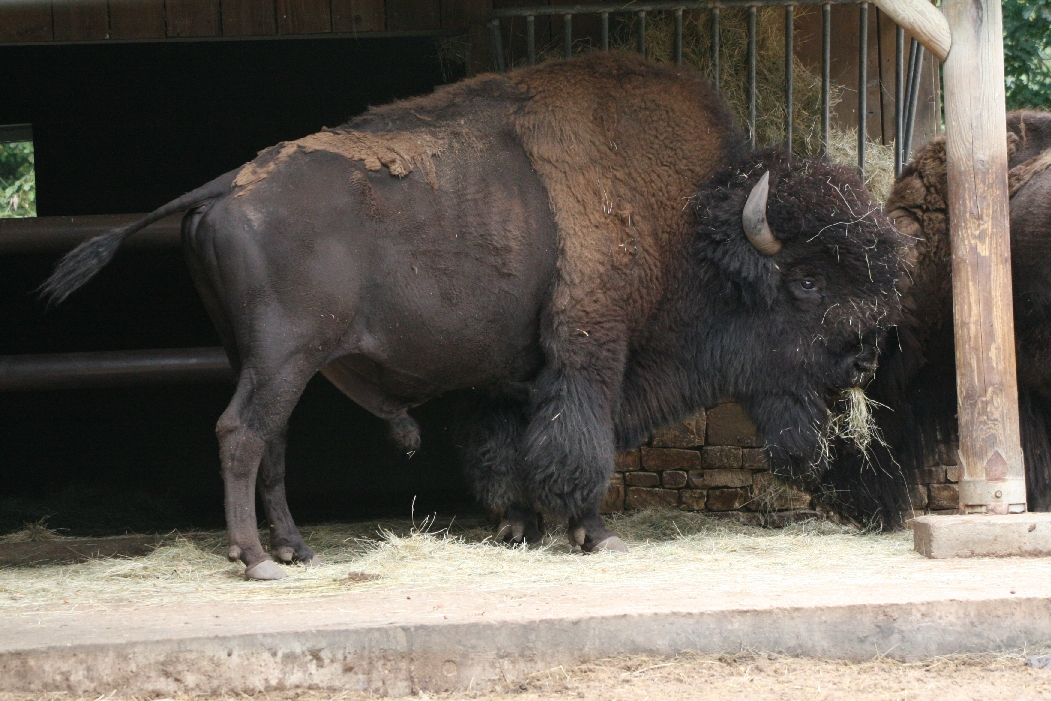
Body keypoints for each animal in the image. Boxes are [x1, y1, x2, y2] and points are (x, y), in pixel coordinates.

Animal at [43, 52, 904, 579]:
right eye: (807, 282)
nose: (865, 357)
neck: (684, 222)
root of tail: (227, 184)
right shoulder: (590, 354)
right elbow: (577, 445)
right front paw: (593, 532)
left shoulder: (505, 377)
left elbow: (504, 452)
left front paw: (517, 527)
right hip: (285, 354)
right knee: (241, 433)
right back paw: (253, 558)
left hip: (253, 354)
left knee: (271, 439)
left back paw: (295, 550)